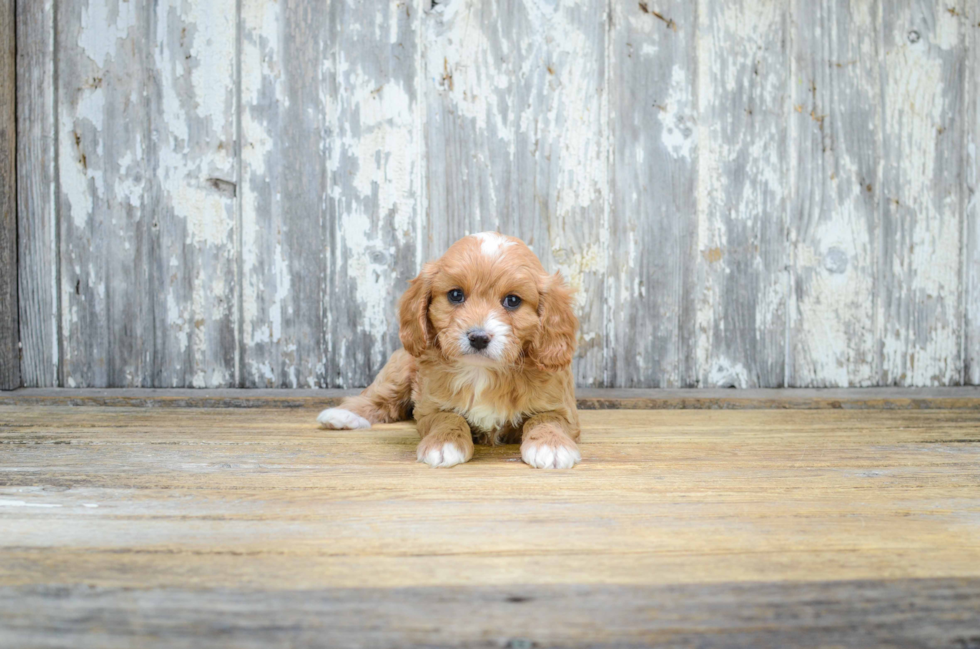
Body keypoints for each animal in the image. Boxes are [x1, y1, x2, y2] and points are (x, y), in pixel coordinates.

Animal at [316, 234, 580, 470]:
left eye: (513, 300)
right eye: (455, 295)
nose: (478, 338)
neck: (481, 371)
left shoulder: (561, 405)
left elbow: (547, 418)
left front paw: (552, 446)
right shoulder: (429, 405)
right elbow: (448, 417)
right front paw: (444, 444)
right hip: (400, 369)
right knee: (378, 398)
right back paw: (343, 416)